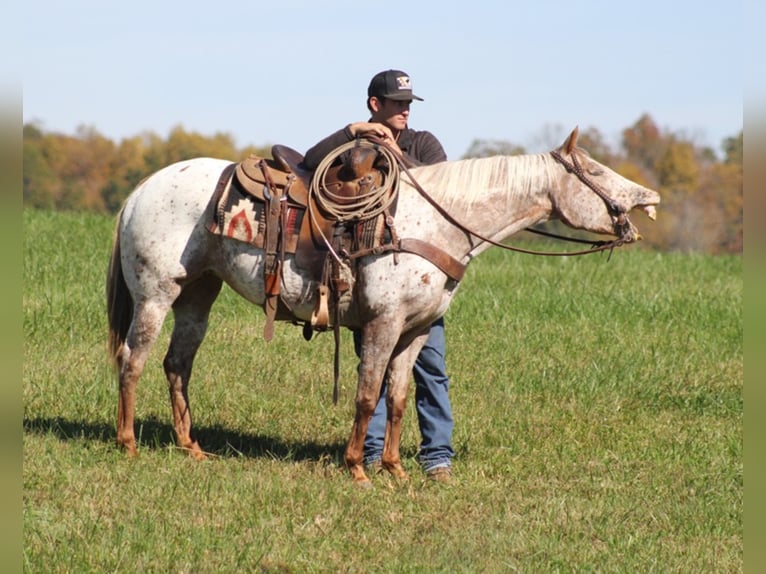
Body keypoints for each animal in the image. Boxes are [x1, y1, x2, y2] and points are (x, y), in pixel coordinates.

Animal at [106, 127, 660, 486]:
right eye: (592, 169)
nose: (647, 197)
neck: (436, 222)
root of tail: (140, 190)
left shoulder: (416, 329)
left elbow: (397, 398)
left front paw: (395, 468)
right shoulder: (383, 323)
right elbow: (367, 395)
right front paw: (357, 468)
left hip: (198, 293)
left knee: (177, 364)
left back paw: (190, 447)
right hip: (155, 293)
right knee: (132, 360)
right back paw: (127, 442)